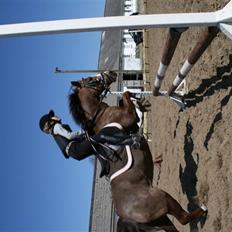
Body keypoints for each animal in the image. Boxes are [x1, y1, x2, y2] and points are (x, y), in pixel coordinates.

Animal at [67, 71, 207, 231]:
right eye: (91, 79)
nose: (110, 73)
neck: (100, 114)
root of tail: (126, 217)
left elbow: (126, 97)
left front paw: (142, 103)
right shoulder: (129, 117)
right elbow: (125, 94)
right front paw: (137, 100)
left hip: (162, 220)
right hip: (162, 199)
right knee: (184, 218)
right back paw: (202, 208)